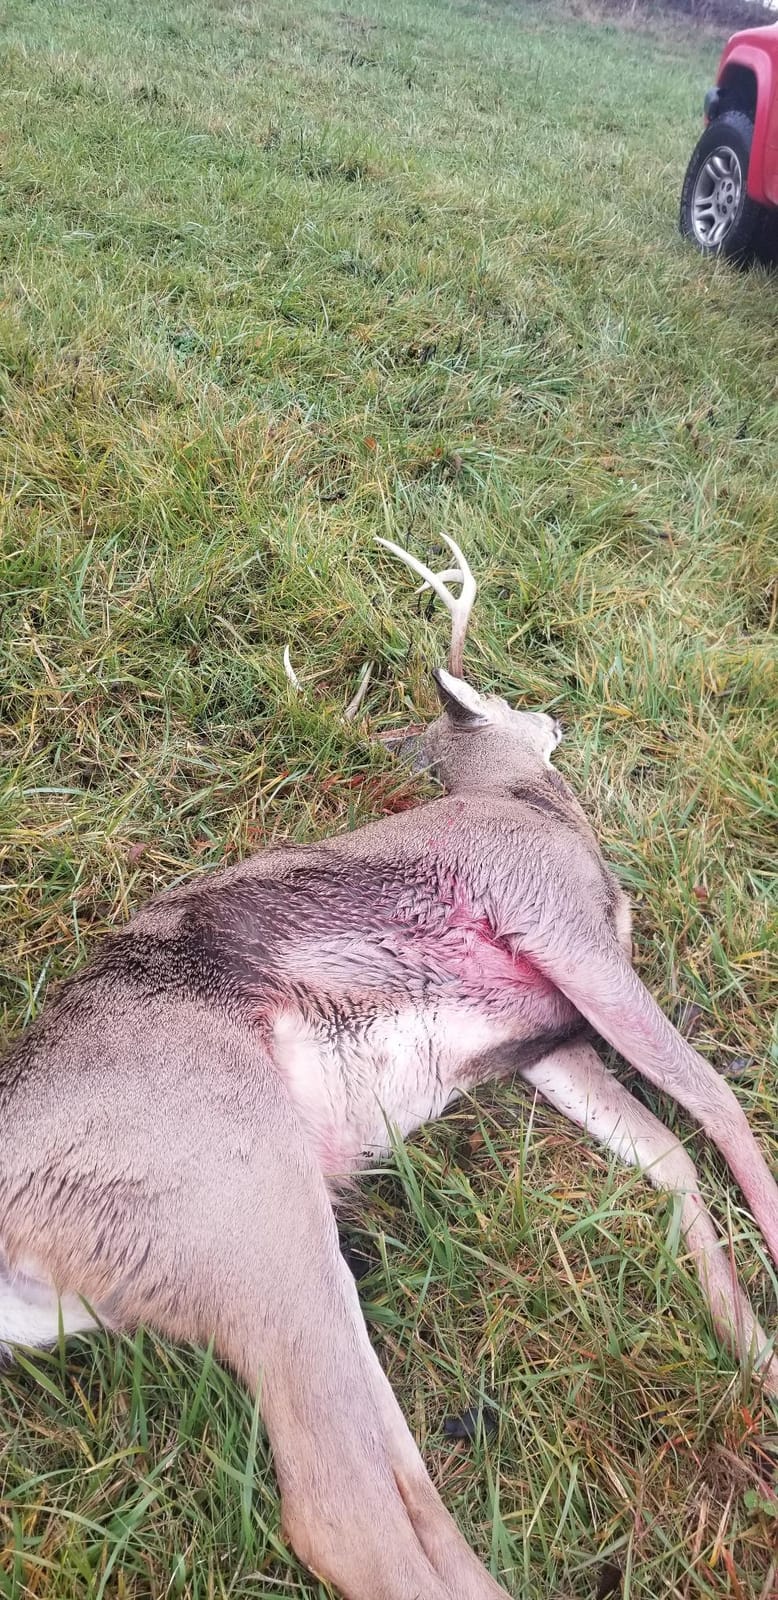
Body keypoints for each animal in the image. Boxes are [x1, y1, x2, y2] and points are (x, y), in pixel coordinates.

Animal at [1, 536, 777, 1600]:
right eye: (494, 697)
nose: (553, 715)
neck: (531, 808)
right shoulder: (561, 928)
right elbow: (714, 1099)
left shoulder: (544, 1042)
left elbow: (665, 1155)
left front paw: (752, 1352)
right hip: (238, 1203)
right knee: (340, 1510)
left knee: (394, 1470)